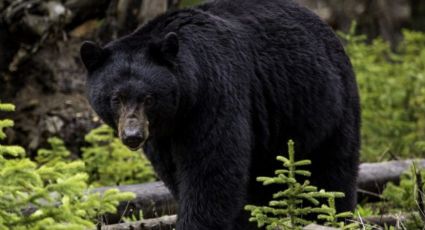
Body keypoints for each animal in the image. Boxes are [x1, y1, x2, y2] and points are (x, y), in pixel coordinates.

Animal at [79, 0, 358, 229]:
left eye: (148, 98)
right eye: (116, 98)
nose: (133, 135)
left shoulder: (214, 96)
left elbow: (212, 170)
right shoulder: (162, 136)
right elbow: (175, 173)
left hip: (327, 106)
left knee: (332, 172)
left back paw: (332, 216)